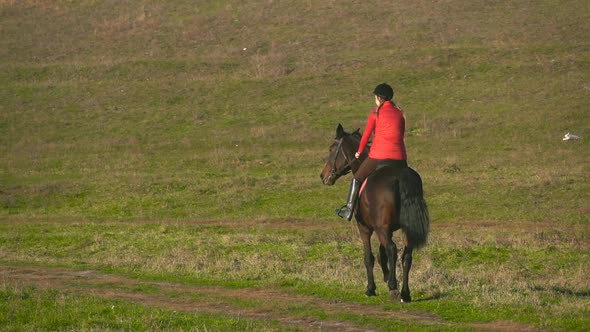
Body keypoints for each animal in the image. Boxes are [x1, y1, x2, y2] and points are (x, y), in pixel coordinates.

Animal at [322, 123, 432, 302]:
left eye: (332, 149)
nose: (323, 176)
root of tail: (400, 176)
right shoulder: (386, 228)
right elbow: (382, 254)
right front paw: (386, 277)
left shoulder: (365, 228)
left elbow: (369, 257)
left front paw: (371, 288)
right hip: (401, 229)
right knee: (406, 256)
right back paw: (405, 293)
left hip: (380, 229)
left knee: (393, 249)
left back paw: (394, 288)